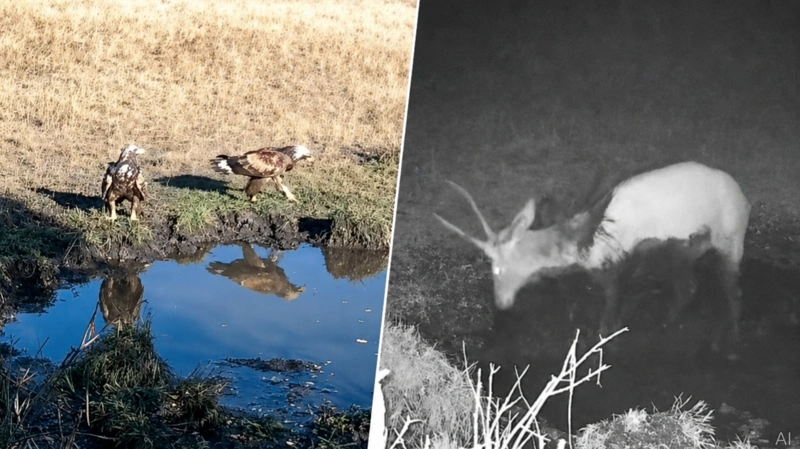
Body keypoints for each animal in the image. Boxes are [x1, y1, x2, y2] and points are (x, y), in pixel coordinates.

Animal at [434, 161, 751, 336]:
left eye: (498, 267)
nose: (501, 303)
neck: (579, 242)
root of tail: (744, 198)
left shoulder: (611, 270)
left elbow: (607, 323)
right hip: (686, 250)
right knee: (689, 287)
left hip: (731, 242)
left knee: (732, 291)